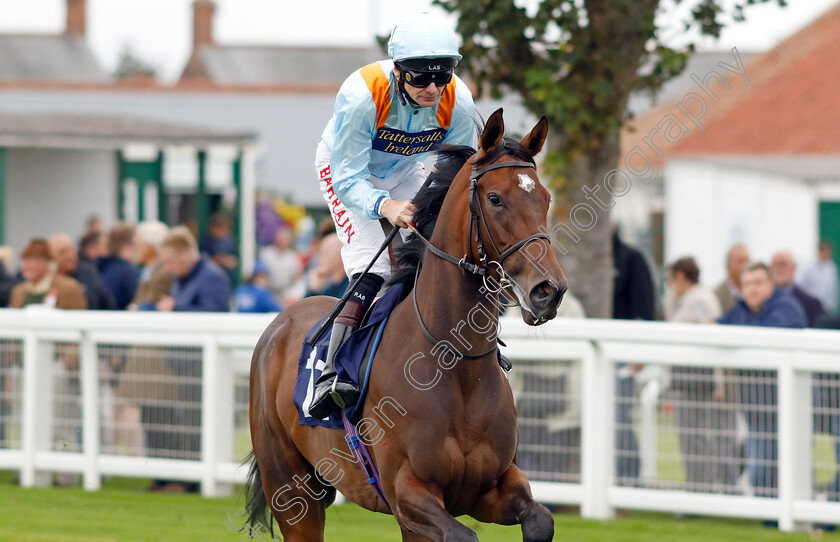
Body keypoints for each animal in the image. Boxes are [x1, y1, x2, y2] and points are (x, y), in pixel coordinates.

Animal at [246, 110, 568, 542]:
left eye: (545, 198)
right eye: (495, 198)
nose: (548, 290)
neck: (455, 364)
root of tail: (282, 319)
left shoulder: (494, 486)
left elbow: (540, 520)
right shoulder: (407, 490)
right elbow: (463, 535)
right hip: (292, 490)